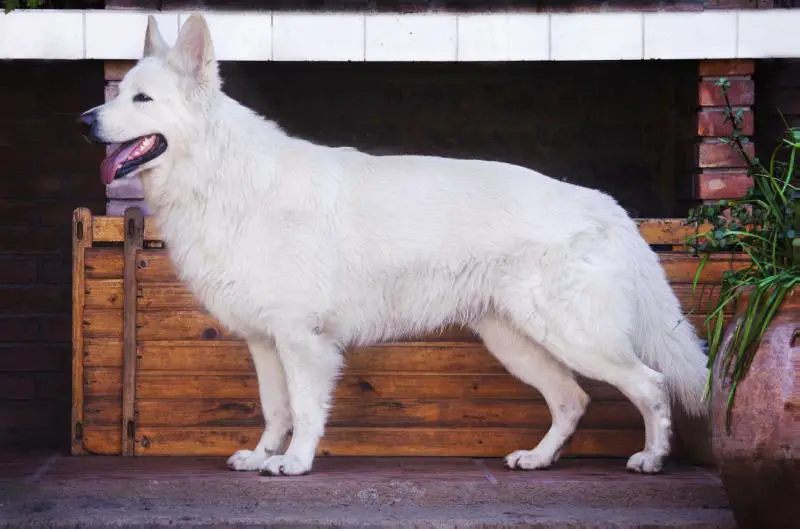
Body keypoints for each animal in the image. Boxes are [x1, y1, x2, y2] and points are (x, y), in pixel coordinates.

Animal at [78, 14, 709, 476]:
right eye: (119, 94)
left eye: (141, 99)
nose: (84, 121)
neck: (223, 175)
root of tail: (605, 203)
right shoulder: (265, 342)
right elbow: (275, 408)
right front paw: (262, 456)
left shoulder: (303, 342)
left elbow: (304, 408)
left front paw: (295, 464)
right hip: (516, 341)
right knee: (573, 400)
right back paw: (538, 459)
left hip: (574, 337)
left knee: (650, 385)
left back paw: (652, 458)